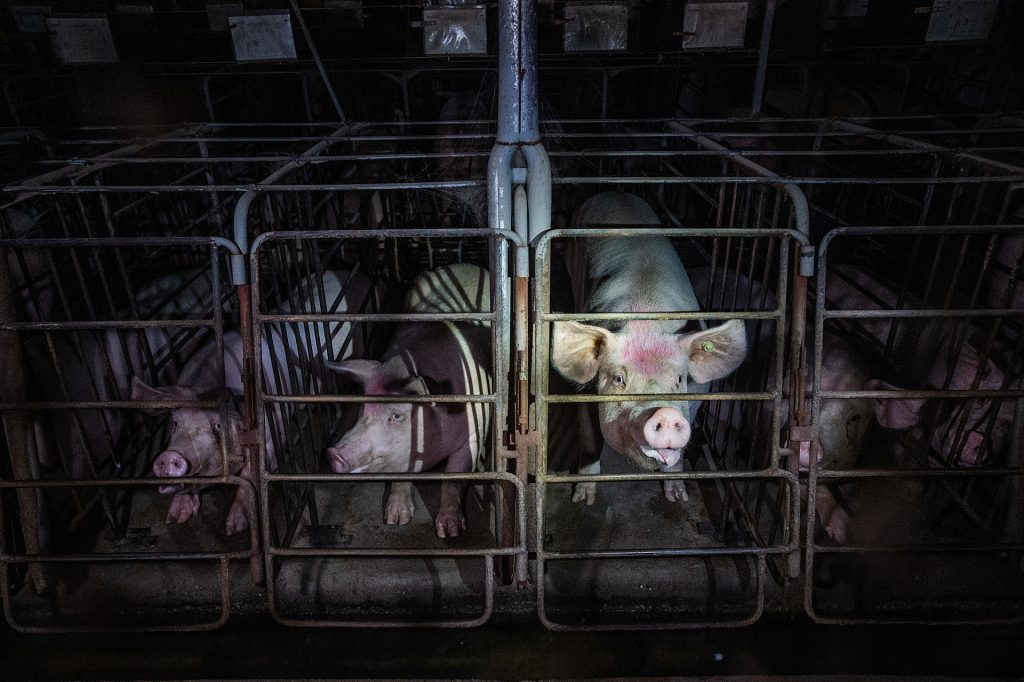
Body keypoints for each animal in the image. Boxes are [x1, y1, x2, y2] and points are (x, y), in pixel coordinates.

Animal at [132, 268, 380, 532]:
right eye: (175, 423)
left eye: (217, 425)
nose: (169, 457)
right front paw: (176, 517)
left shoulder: (272, 434)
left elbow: (250, 475)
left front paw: (235, 527)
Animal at [323, 261, 491, 536]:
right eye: (362, 409)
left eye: (396, 415)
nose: (334, 453)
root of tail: (462, 264)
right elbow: (400, 477)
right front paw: (395, 520)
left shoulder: (476, 428)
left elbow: (452, 479)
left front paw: (450, 532)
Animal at [552, 191, 745, 503]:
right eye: (619, 379)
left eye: (679, 379)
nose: (665, 413)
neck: (648, 322)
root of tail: (613, 191)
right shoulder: (582, 391)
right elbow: (590, 442)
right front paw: (582, 499)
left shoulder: (698, 394)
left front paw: (678, 498)